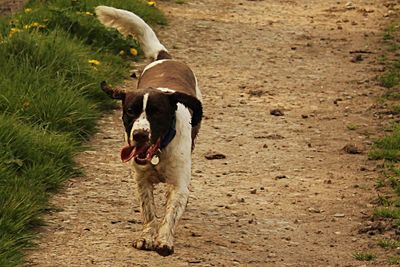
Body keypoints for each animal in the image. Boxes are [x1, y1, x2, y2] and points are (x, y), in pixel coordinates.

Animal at [94, 6, 203, 258]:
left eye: (156, 113)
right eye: (130, 112)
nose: (140, 135)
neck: (158, 153)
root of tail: (166, 58)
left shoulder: (179, 185)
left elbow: (170, 214)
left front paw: (164, 241)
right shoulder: (141, 180)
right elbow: (149, 212)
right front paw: (146, 238)